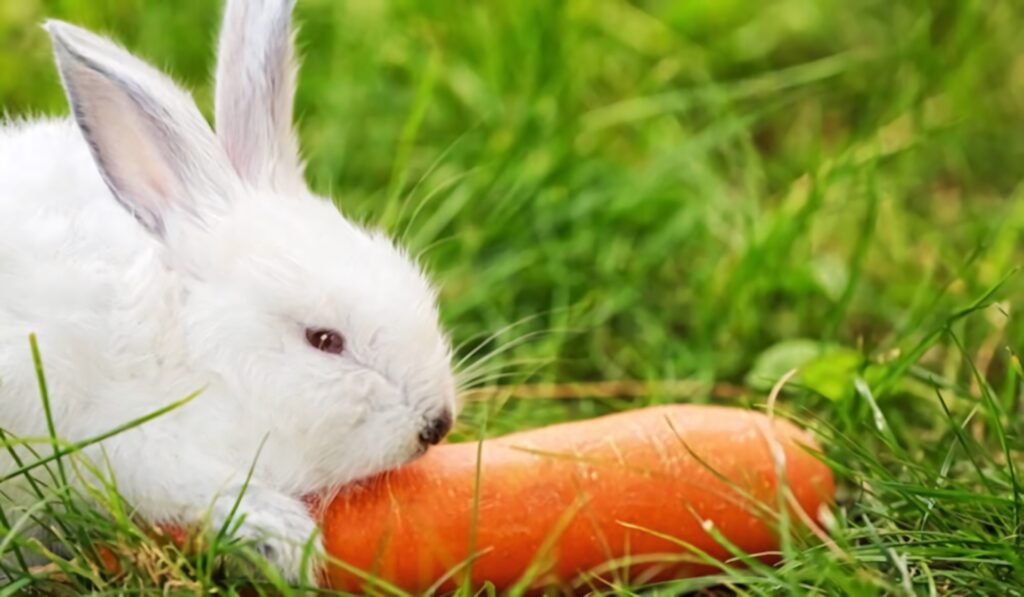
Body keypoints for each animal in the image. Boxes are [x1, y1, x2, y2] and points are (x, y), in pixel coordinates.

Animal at [0, 0, 457, 582]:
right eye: (324, 340)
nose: (437, 424)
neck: (196, 352)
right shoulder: (133, 445)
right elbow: (207, 490)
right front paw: (289, 545)